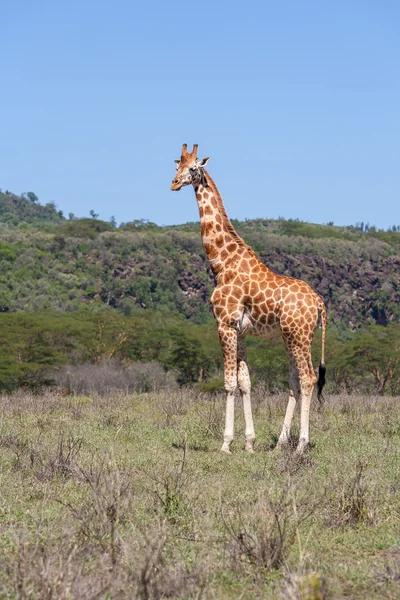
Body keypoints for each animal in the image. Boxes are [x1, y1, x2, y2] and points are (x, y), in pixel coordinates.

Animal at [170, 145, 326, 454]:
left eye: (193, 168)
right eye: (177, 165)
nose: (174, 183)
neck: (221, 262)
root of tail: (319, 304)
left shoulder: (225, 324)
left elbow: (229, 383)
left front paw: (226, 443)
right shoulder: (240, 330)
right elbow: (245, 382)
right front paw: (250, 443)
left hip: (299, 336)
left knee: (308, 378)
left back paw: (301, 445)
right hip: (291, 337)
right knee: (294, 380)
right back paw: (280, 444)